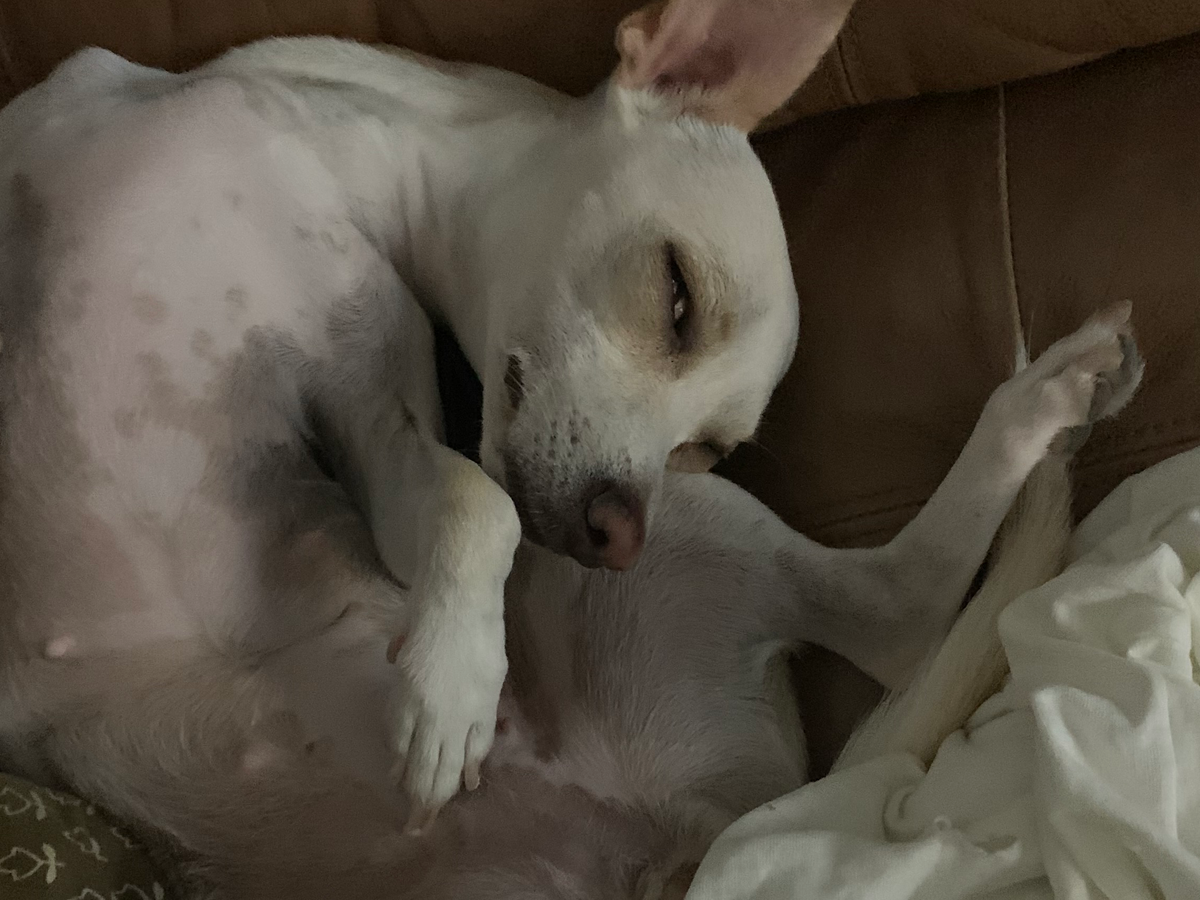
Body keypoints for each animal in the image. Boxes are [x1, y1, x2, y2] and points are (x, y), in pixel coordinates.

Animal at [0, 0, 1142, 895]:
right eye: (678, 299)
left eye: (706, 449)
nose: (619, 531)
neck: (314, 164)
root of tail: (694, 839)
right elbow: (480, 500)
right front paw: (457, 672)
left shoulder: (376, 420)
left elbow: (480, 501)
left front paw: (453, 685)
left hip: (703, 548)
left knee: (902, 610)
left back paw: (1050, 396)